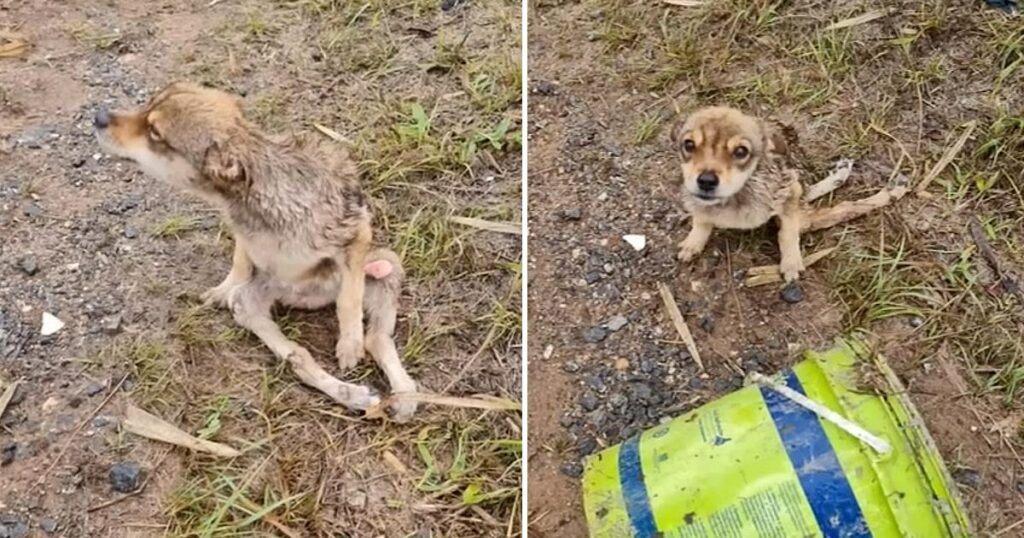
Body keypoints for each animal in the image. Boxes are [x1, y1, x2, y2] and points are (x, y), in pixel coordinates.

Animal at [93, 80, 415, 420]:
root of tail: (313, 300)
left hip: (388, 264)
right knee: (298, 355)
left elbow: (349, 300)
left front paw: (349, 343)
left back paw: (405, 395)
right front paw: (221, 289)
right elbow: (240, 262)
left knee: (376, 337)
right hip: (249, 302)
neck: (256, 198)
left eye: (154, 132)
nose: (98, 116)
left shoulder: (357, 233)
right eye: (147, 105)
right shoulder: (242, 238)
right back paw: (354, 395)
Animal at [675, 105, 909, 280]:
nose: (706, 181)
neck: (734, 197)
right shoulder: (698, 202)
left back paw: (894, 188)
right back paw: (841, 173)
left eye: (741, 151)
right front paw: (693, 243)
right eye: (689, 145)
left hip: (805, 208)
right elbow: (701, 220)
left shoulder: (789, 193)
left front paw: (791, 264)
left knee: (846, 208)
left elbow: (787, 233)